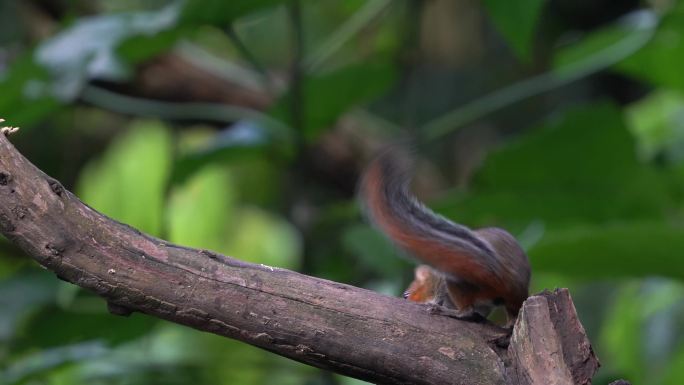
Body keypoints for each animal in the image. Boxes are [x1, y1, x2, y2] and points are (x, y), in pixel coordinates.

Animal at [360, 148, 532, 326]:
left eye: (406, 295)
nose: (405, 297)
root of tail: (506, 279)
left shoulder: (443, 284)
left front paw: (435, 303)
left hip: (459, 281)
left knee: (466, 311)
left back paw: (449, 311)